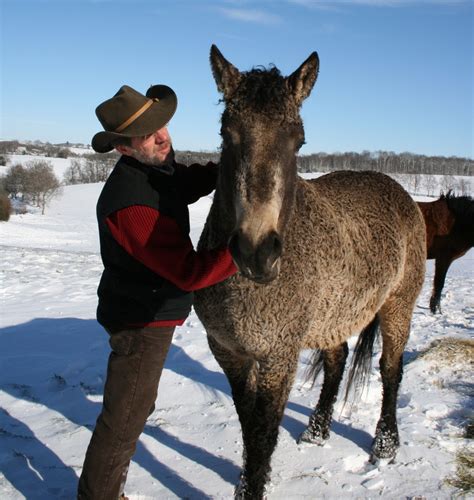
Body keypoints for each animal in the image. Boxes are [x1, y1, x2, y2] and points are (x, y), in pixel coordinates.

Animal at [193, 45, 426, 498]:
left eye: (298, 140)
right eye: (227, 133)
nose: (256, 252)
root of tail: (399, 191)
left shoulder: (279, 357)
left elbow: (263, 434)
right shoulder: (228, 352)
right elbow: (248, 426)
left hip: (397, 307)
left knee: (391, 369)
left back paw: (385, 445)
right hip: (333, 317)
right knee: (337, 362)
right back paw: (317, 431)